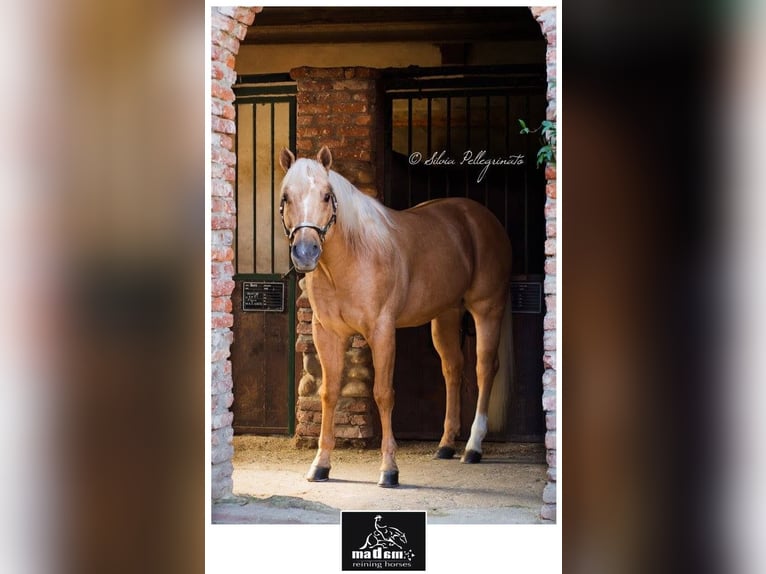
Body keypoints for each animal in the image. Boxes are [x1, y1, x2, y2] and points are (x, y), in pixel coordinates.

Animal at [278, 146, 512, 487]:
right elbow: (328, 394)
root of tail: (482, 218)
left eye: (326, 195)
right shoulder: (326, 333)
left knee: (484, 368)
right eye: (286, 197)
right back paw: (445, 445)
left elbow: (383, 394)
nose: (306, 252)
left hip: (487, 309)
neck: (353, 256)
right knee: (453, 369)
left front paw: (389, 469)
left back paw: (473, 447)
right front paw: (320, 465)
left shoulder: (382, 331)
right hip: (446, 315)